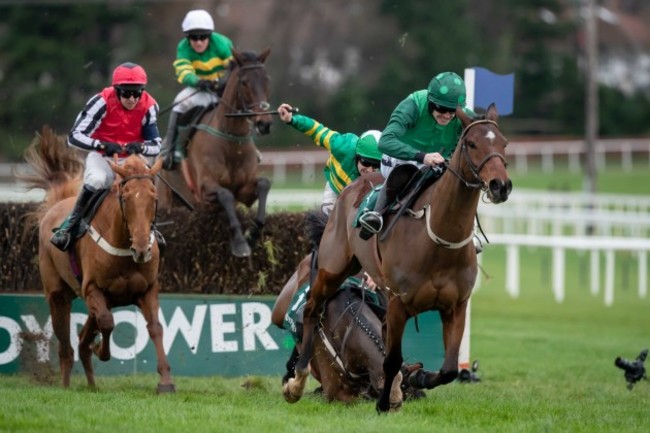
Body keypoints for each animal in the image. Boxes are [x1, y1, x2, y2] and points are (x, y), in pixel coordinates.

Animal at [21, 127, 173, 392]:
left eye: (153, 196)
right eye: (125, 196)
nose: (141, 249)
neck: (124, 247)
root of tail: (57, 205)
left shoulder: (147, 289)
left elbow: (155, 328)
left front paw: (165, 381)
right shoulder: (92, 288)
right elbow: (107, 323)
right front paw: (101, 349)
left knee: (82, 340)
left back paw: (92, 385)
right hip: (58, 293)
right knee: (66, 347)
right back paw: (66, 386)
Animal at [161, 48, 274, 256]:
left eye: (266, 79)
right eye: (244, 82)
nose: (265, 123)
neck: (231, 143)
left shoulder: (245, 191)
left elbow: (264, 184)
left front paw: (254, 234)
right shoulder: (205, 189)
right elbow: (225, 194)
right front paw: (239, 242)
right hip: (166, 199)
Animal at [284, 104, 512, 412]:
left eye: (503, 143)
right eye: (472, 143)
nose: (501, 185)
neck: (438, 240)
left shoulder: (456, 306)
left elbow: (449, 369)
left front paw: (416, 380)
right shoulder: (398, 304)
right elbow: (392, 360)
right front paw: (383, 403)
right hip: (333, 268)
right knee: (311, 308)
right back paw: (296, 381)